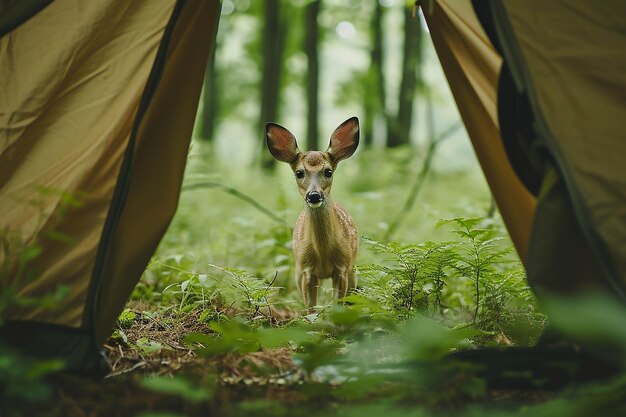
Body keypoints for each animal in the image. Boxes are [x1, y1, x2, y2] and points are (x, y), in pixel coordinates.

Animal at [266, 115, 358, 308]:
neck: (323, 253)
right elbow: (311, 308)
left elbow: (336, 306)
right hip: (297, 270)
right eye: (299, 173)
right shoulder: (306, 269)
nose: (314, 195)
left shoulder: (343, 266)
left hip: (353, 268)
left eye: (328, 171)